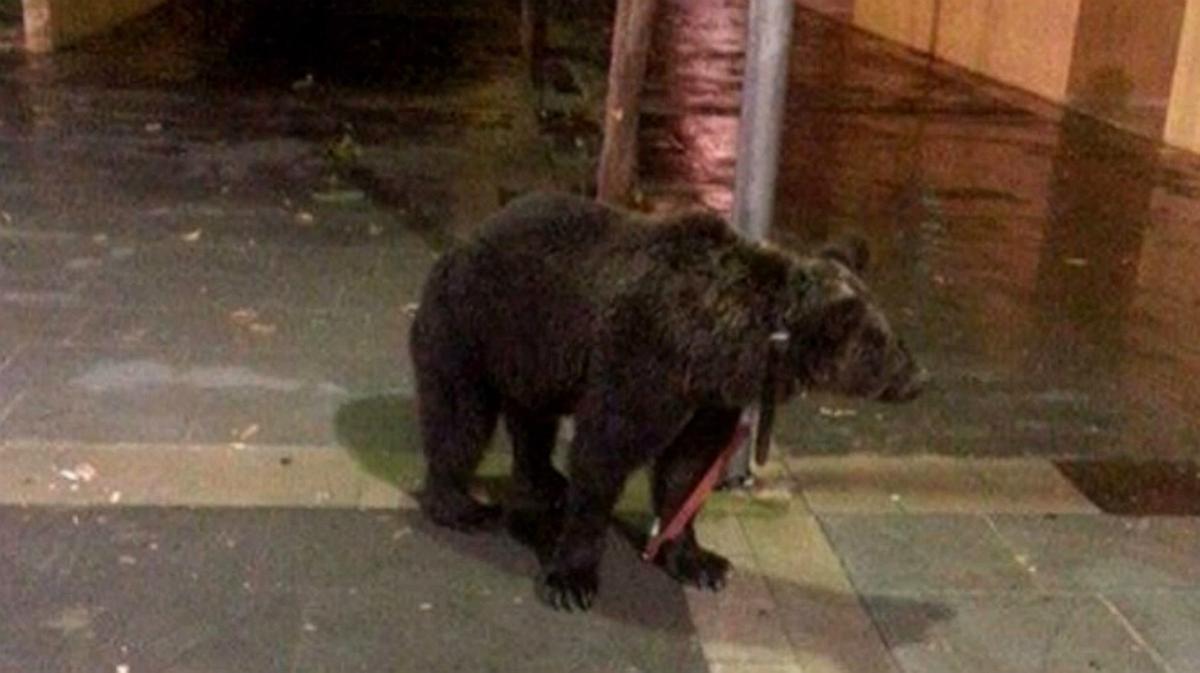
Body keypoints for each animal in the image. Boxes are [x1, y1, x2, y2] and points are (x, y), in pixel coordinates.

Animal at [408, 189, 921, 609]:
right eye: (883, 345)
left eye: (892, 336)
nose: (920, 377)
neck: (726, 343)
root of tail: (460, 242)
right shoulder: (645, 360)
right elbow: (605, 453)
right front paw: (572, 578)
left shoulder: (708, 397)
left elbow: (687, 469)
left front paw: (700, 561)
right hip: (471, 326)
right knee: (460, 418)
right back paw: (463, 506)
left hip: (534, 356)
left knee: (533, 421)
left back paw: (545, 480)